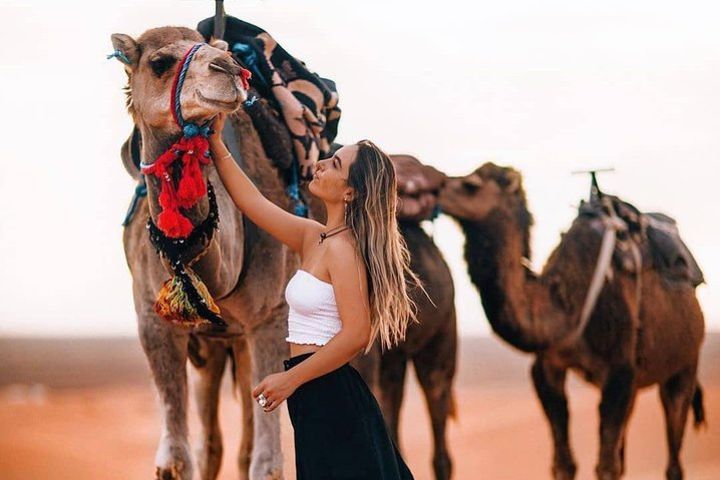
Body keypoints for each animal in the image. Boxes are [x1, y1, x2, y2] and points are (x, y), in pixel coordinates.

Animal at [436, 163, 704, 478]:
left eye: (472, 185)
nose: (435, 187)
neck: (565, 306)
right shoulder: (548, 367)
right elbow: (564, 463)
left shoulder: (620, 371)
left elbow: (606, 466)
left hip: (685, 363)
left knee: (673, 455)